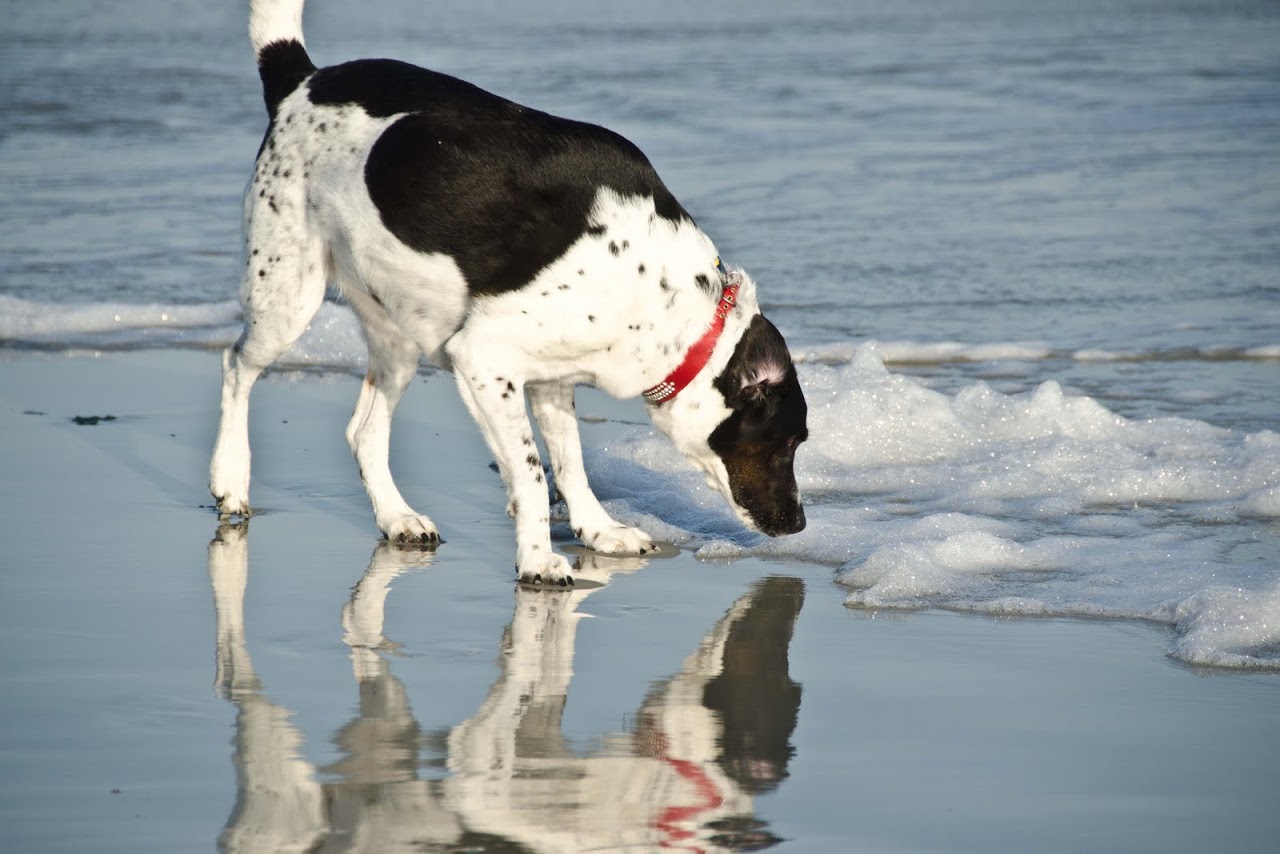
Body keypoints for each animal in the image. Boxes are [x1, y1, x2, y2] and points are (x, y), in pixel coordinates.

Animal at [212, 0, 808, 588]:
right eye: (788, 443)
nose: (800, 525)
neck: (676, 307)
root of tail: (302, 79)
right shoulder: (482, 361)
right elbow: (531, 470)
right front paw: (538, 560)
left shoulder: (552, 380)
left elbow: (569, 463)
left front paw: (598, 531)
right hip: (286, 297)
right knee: (237, 366)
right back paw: (230, 479)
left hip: (398, 336)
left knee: (363, 431)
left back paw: (398, 518)